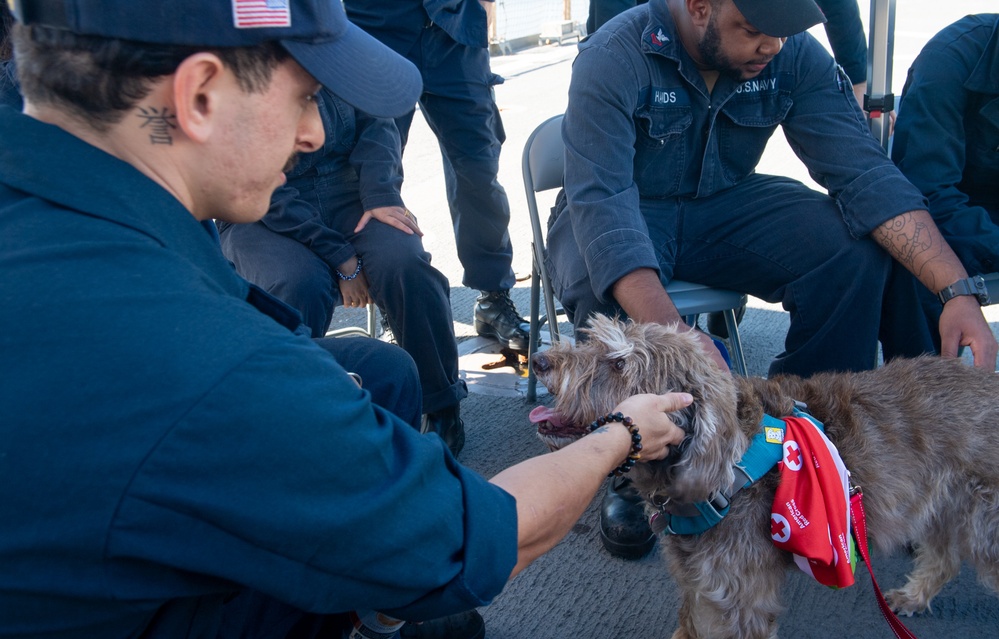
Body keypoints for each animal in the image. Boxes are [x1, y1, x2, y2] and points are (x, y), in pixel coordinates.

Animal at [532, 316, 999, 639]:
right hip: (943, 506)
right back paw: (914, 596)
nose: (538, 360)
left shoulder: (741, 601)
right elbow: (690, 623)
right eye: (593, 340)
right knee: (944, 557)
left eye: (618, 364)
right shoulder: (699, 582)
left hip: (982, 524)